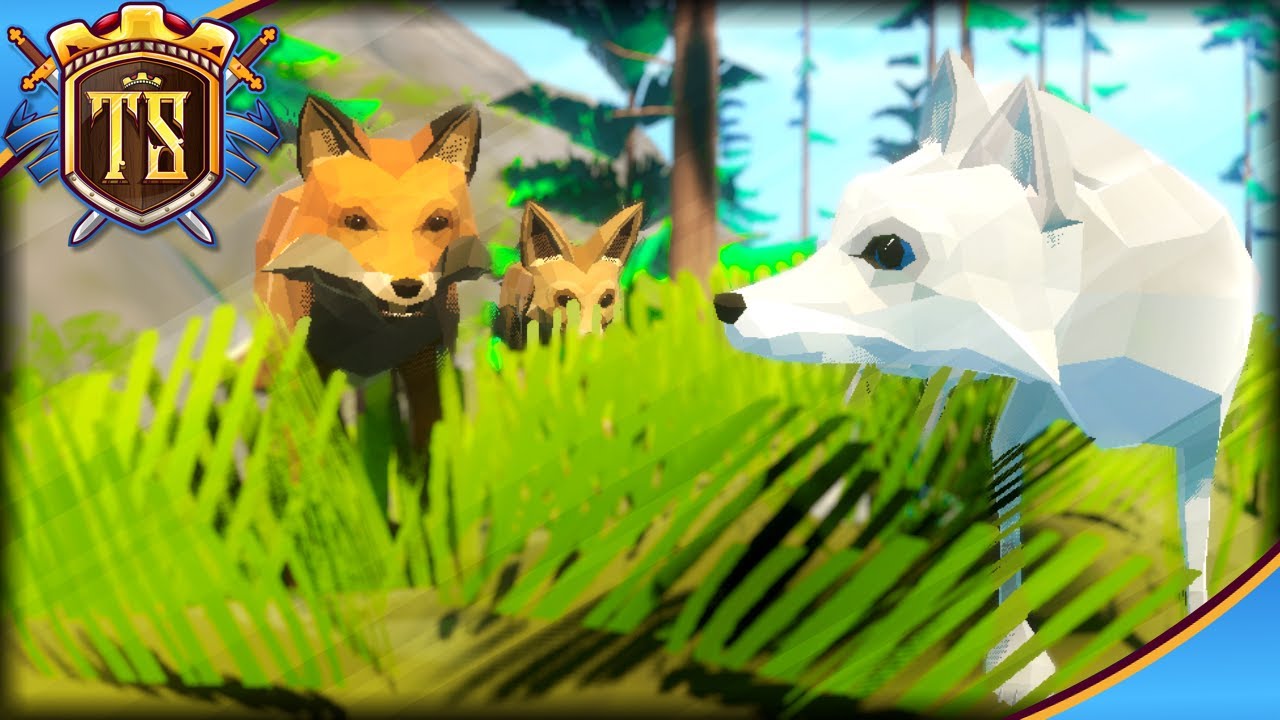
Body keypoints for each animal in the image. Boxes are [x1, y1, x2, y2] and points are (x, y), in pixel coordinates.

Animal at [254, 95, 491, 453]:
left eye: (436, 222)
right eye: (356, 221)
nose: (406, 286)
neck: (371, 338)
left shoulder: (427, 366)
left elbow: (428, 442)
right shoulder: (314, 374)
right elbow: (329, 446)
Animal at [713, 50, 1258, 703]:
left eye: (889, 250)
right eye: (835, 227)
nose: (725, 304)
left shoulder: (1204, 433)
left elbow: (1196, 552)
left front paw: (1192, 619)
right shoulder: (1021, 418)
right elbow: (1006, 522)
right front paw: (1016, 661)